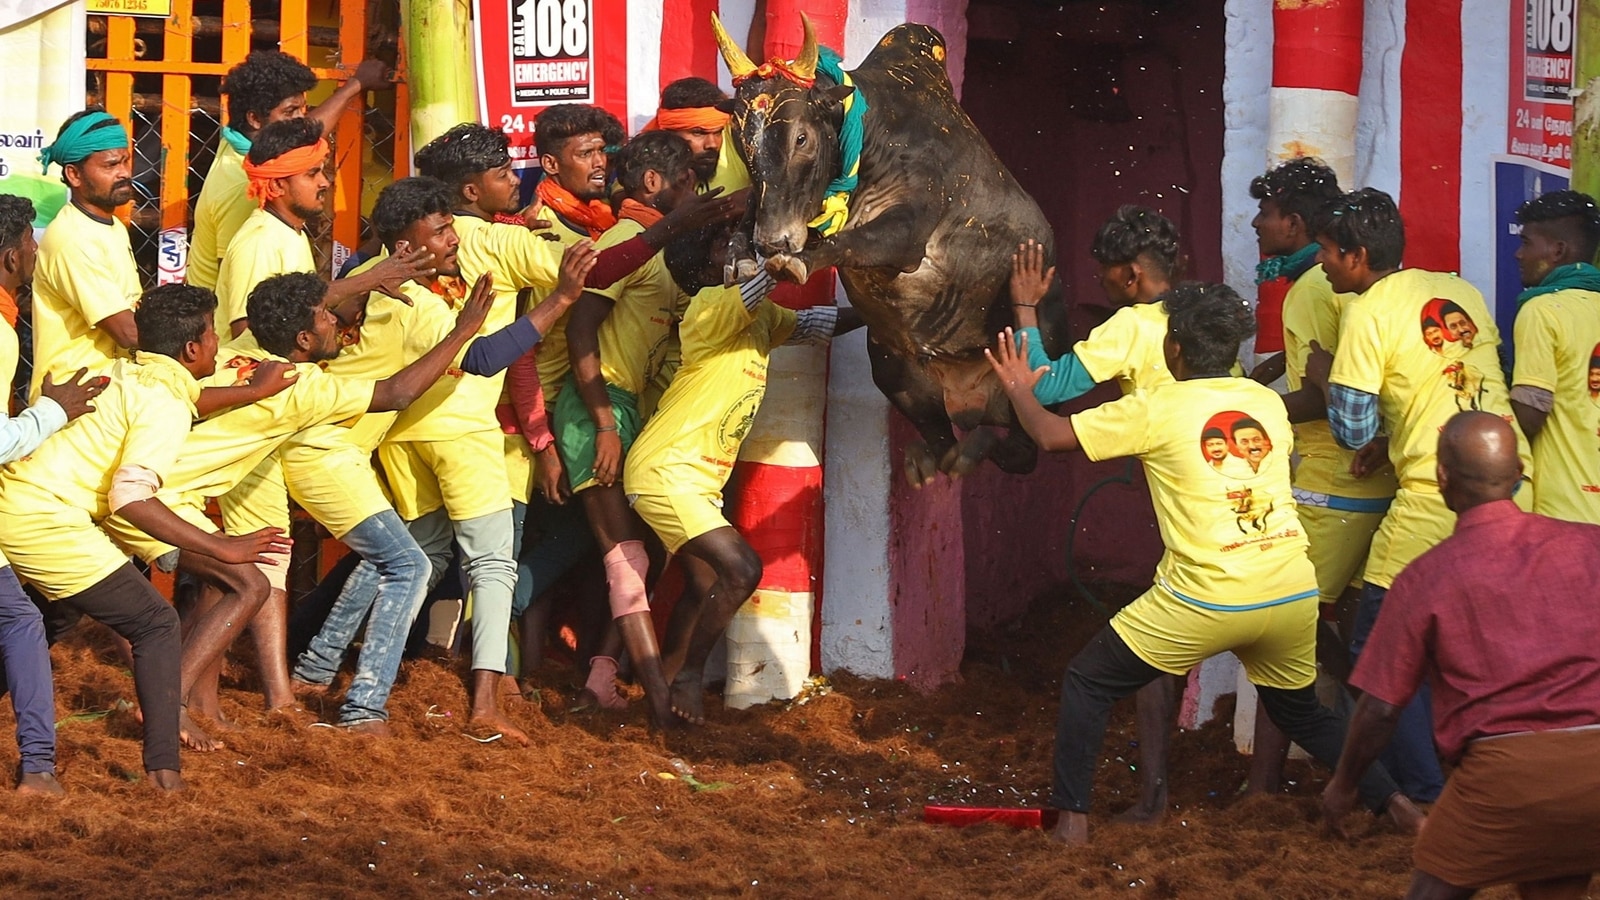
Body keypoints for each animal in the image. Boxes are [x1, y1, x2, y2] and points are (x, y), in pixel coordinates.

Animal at [710, 14, 1062, 483]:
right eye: (740, 139)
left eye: (801, 138)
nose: (773, 241)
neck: (869, 139)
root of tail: (970, 400)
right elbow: (750, 210)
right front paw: (739, 257)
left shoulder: (907, 232)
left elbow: (851, 241)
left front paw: (797, 263)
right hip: (895, 371)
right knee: (947, 446)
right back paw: (930, 460)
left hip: (1038, 376)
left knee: (1021, 451)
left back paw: (976, 446)